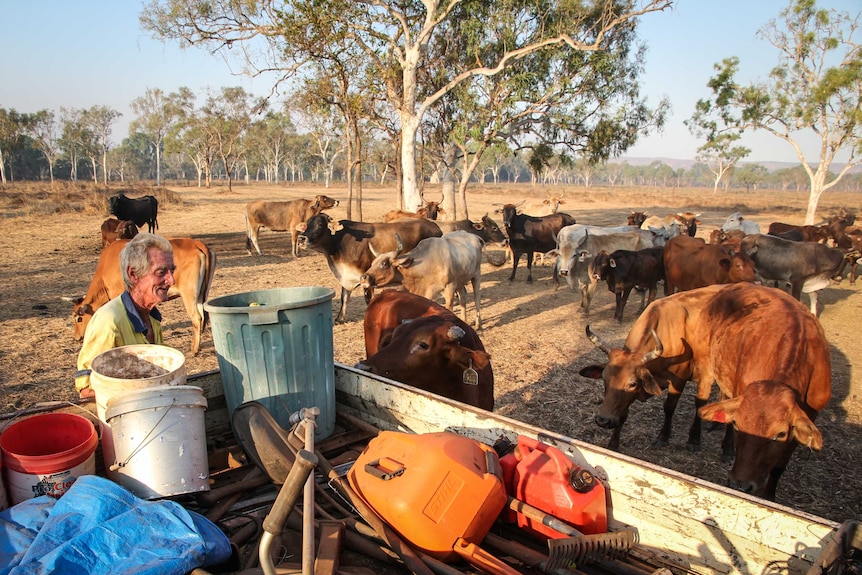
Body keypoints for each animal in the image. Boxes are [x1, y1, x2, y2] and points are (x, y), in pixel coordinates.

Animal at [298, 213, 446, 322]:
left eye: (320, 224)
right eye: (307, 224)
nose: (301, 238)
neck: (338, 244)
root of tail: (435, 226)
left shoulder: (365, 277)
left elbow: (368, 299)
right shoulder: (346, 277)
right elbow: (344, 297)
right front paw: (339, 319)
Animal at [358, 230, 486, 328]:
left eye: (384, 263)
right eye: (373, 263)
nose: (363, 278)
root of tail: (475, 236)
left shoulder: (449, 287)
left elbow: (449, 308)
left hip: (476, 276)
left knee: (477, 297)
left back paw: (478, 324)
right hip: (460, 282)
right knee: (463, 297)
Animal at [584, 284, 832, 500]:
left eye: (633, 383)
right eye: (604, 379)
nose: (602, 420)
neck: (666, 326)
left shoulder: (680, 378)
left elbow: (670, 407)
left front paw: (667, 437)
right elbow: (623, 413)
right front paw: (613, 442)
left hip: (708, 372)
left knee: (703, 403)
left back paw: (719, 446)